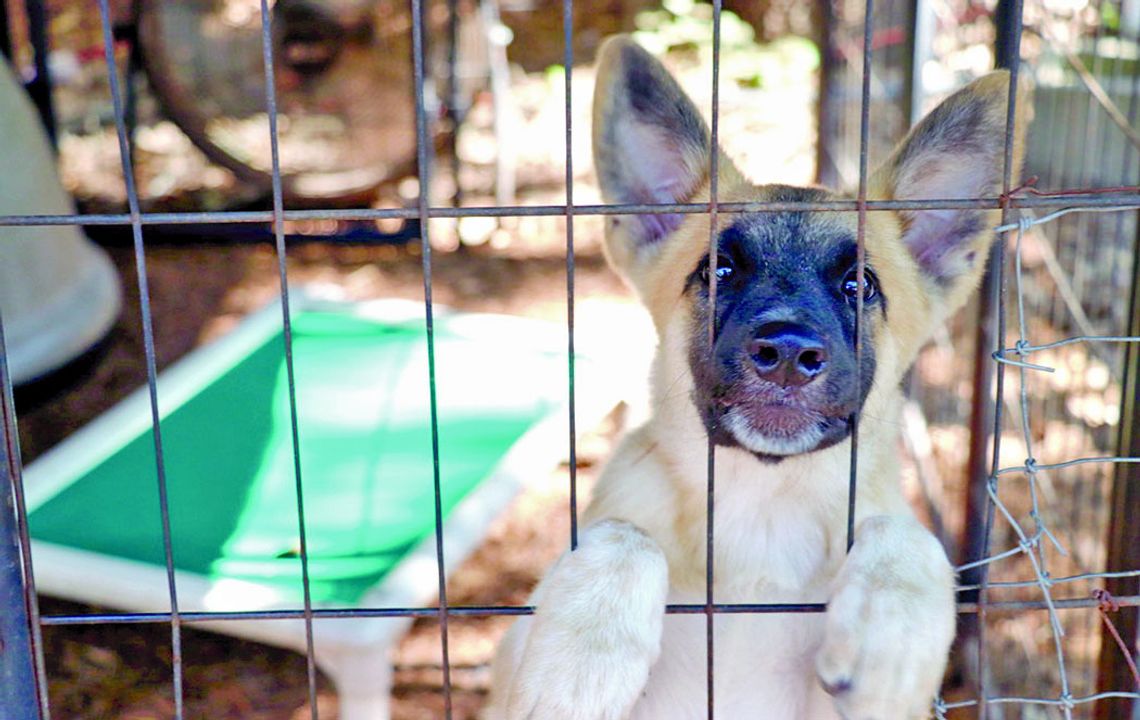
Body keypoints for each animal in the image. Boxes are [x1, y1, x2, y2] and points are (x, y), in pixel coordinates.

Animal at [485, 35, 1030, 720]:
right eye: (719, 271)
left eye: (860, 285)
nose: (789, 353)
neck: (763, 512)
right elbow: (624, 534)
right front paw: (582, 657)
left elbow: (905, 532)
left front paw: (891, 636)